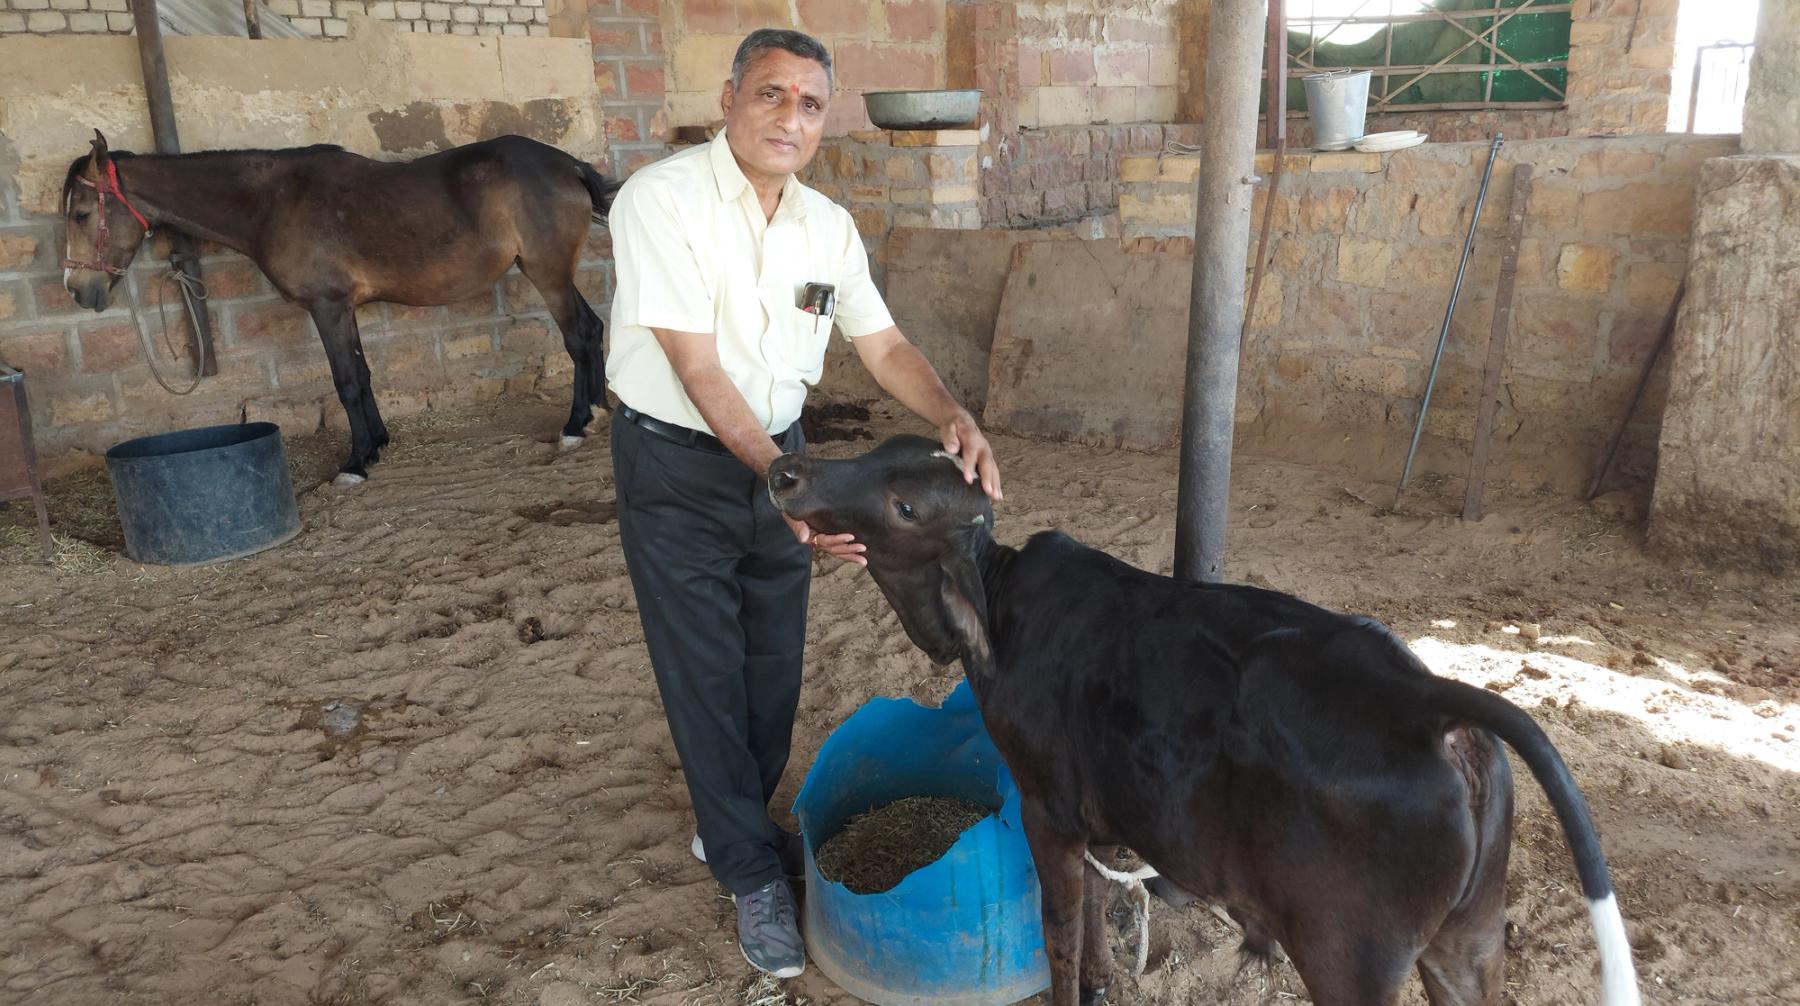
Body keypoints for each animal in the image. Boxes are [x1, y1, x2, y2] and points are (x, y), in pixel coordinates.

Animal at [769, 434, 1639, 1006]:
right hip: (1471, 938)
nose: (785, 471)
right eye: (882, 448)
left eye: (904, 504)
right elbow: (1096, 909)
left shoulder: (1048, 808)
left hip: (1351, 955)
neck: (1004, 607)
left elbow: (1062, 928)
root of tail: (1429, 700)